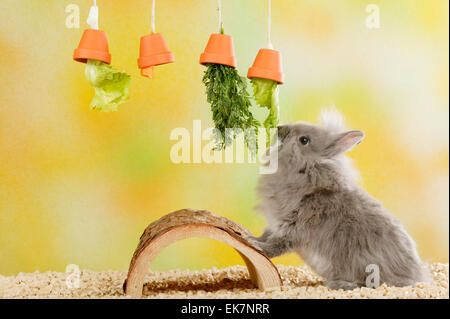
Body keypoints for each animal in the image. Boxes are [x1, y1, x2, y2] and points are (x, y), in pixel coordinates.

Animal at [250, 109, 428, 290]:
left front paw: (255, 245)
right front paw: (252, 238)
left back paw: (340, 284)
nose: (279, 128)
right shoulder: (276, 224)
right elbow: (266, 235)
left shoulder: (295, 229)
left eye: (304, 140)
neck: (308, 175)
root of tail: (419, 277)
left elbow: (275, 246)